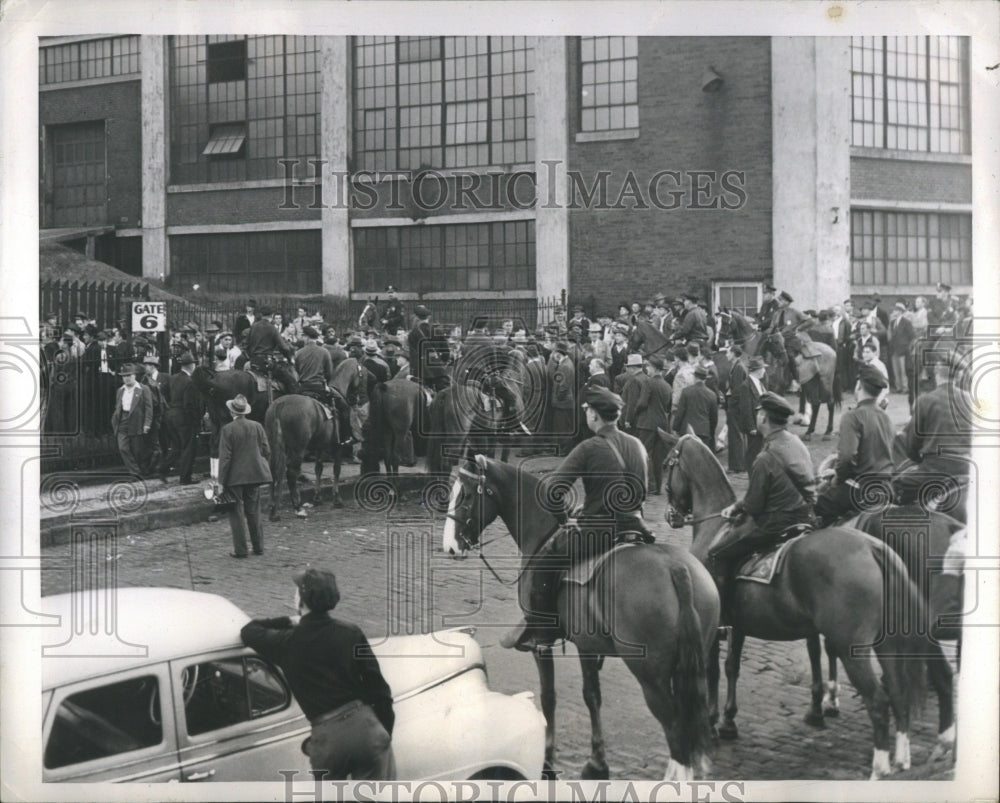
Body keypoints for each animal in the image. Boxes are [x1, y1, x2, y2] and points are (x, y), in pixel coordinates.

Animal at [444, 456, 720, 784]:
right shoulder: (588, 644)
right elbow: (592, 696)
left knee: (676, 734)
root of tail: (677, 568)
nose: (450, 546)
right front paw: (597, 763)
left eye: (466, 495)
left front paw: (548, 759)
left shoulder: (542, 644)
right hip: (689, 666)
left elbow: (548, 696)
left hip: (651, 677)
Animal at [656, 434, 928, 780]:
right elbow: (732, 667)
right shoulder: (739, 625)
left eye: (668, 464)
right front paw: (729, 720)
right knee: (898, 691)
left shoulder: (715, 626)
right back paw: (901, 757)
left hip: (852, 647)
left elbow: (713, 670)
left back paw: (879, 767)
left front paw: (714, 720)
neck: (714, 527)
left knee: (878, 701)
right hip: (886, 643)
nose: (671, 514)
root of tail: (872, 547)